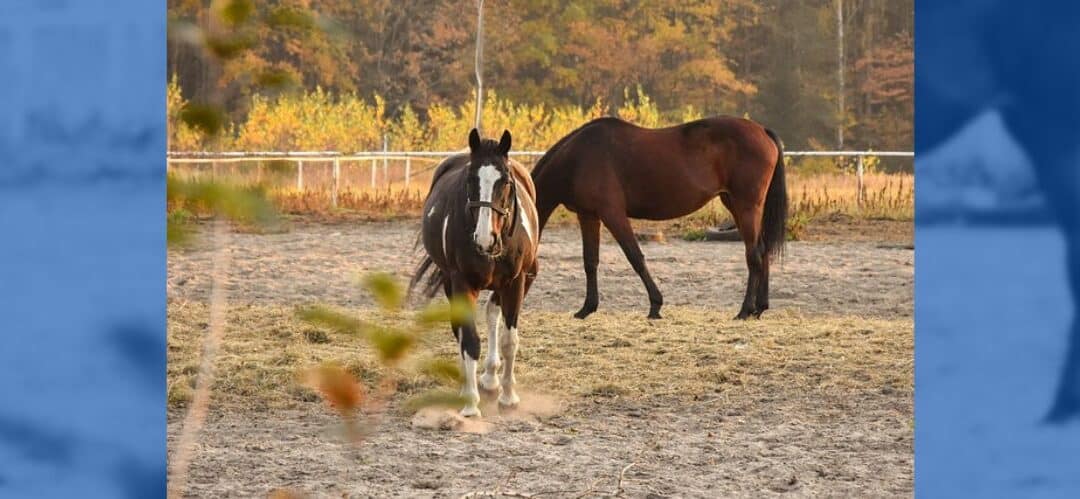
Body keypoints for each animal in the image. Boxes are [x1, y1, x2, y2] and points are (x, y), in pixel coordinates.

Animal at [408, 128, 540, 416]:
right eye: (471, 179)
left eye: (505, 181)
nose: (484, 238)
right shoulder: (462, 283)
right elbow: (468, 340)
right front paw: (470, 404)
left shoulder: (515, 283)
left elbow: (509, 341)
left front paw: (508, 398)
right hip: (450, 281)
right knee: (460, 330)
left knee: (493, 314)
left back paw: (491, 381)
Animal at [529, 116, 786, 319]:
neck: (578, 158)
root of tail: (762, 130)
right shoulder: (588, 216)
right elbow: (590, 261)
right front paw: (586, 308)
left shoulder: (612, 214)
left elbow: (635, 257)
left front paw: (655, 305)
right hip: (735, 205)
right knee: (763, 250)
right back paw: (759, 309)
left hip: (746, 207)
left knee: (753, 255)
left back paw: (744, 310)